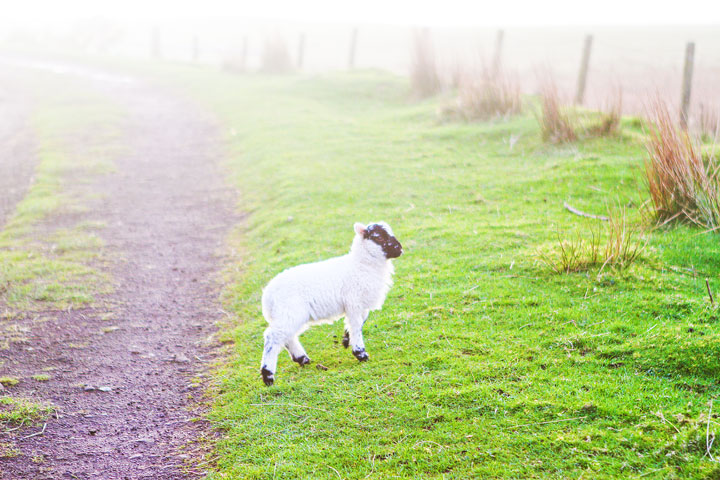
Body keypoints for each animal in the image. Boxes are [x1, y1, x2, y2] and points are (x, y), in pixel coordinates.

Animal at [260, 221, 404, 386]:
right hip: (290, 311)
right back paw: (268, 376)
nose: (399, 249)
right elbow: (356, 326)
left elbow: (358, 323)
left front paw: (346, 340)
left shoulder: (361, 305)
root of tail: (268, 296)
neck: (361, 265)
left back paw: (302, 359)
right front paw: (360, 353)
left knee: (286, 336)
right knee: (272, 337)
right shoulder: (354, 302)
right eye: (378, 237)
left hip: (288, 314)